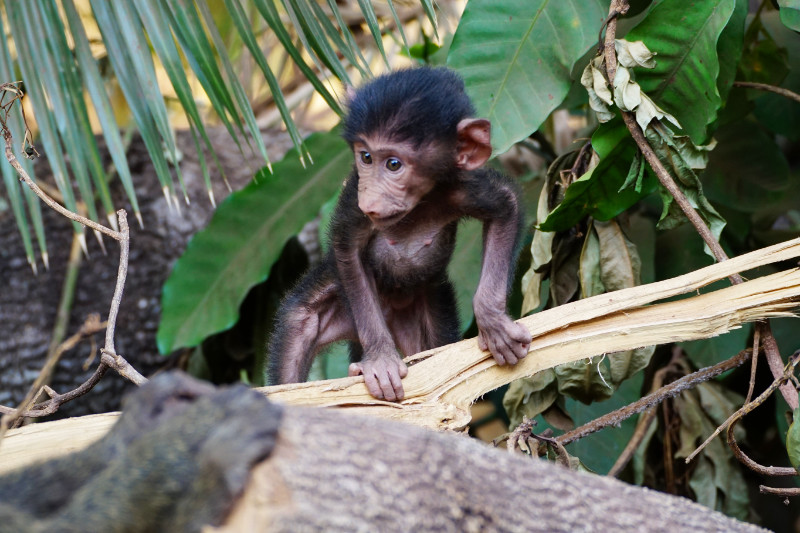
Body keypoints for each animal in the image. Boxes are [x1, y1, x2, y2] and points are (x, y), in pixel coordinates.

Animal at [268, 67, 531, 401]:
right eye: (366, 157)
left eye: (394, 164)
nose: (370, 199)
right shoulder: (353, 197)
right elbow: (346, 248)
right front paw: (380, 358)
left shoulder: (461, 186)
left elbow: (506, 207)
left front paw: (493, 322)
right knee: (298, 326)